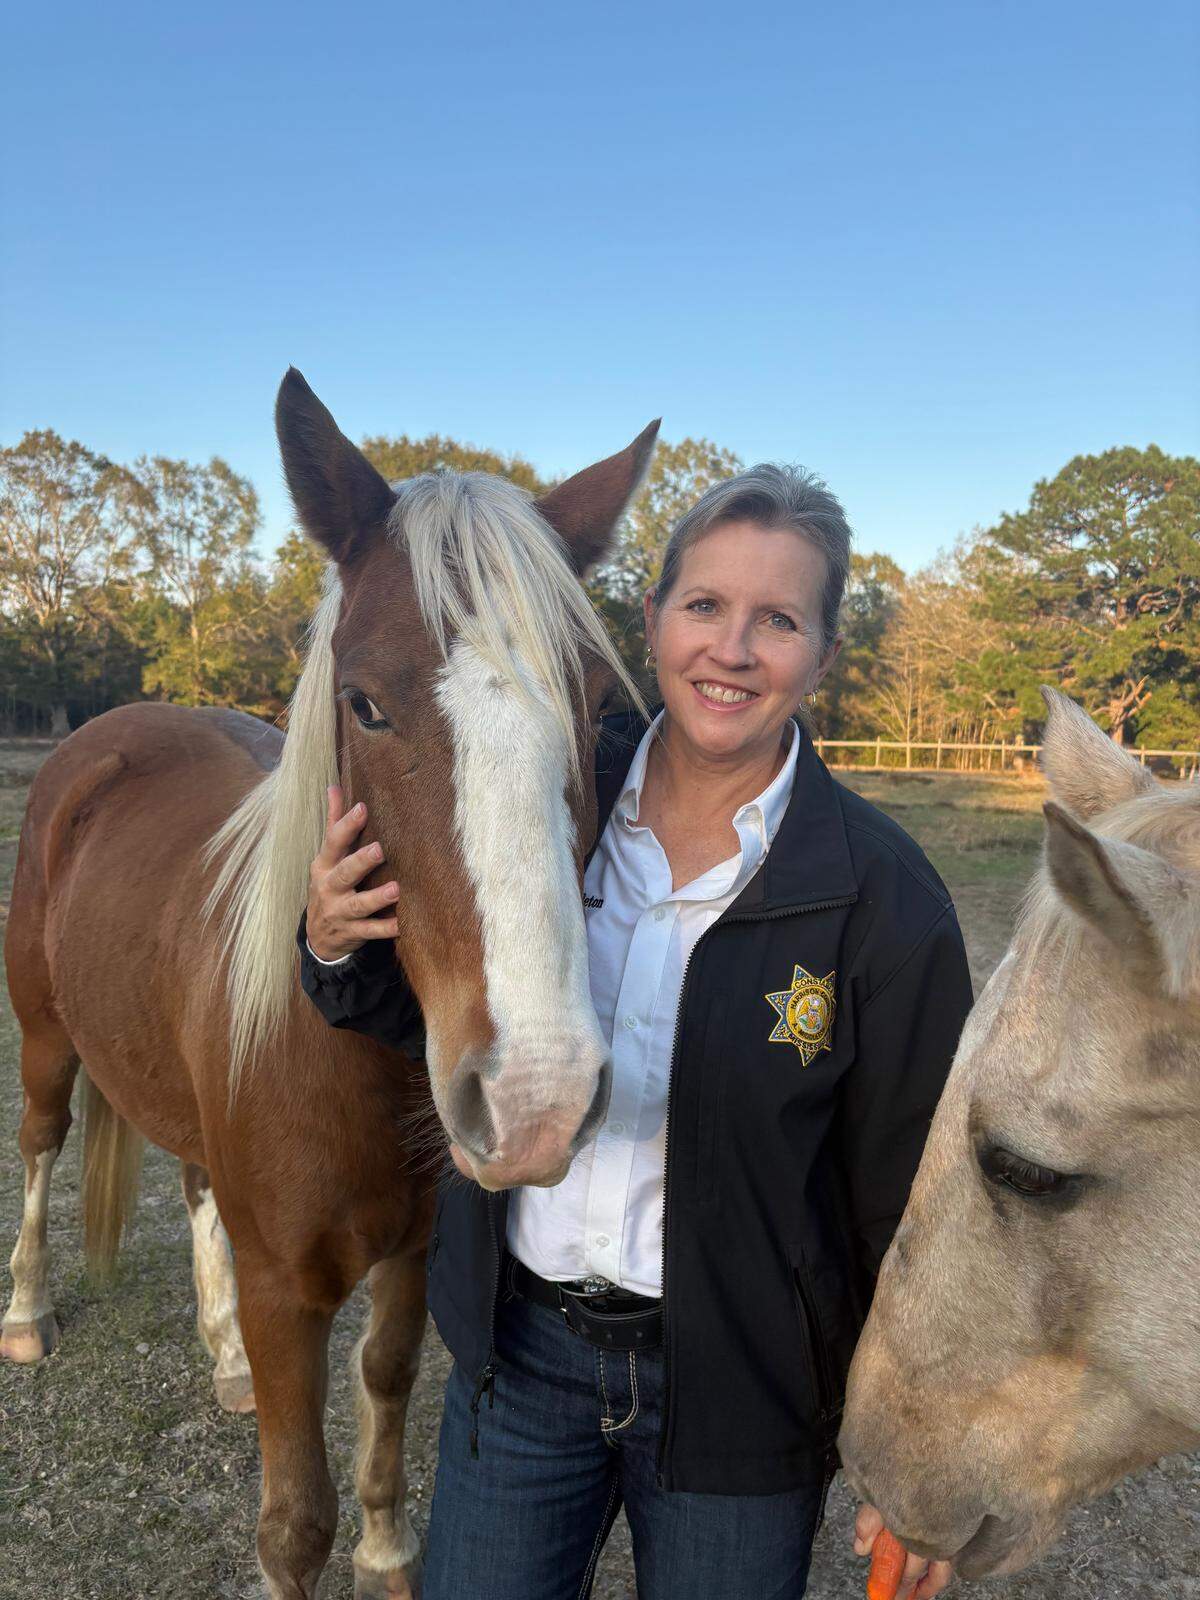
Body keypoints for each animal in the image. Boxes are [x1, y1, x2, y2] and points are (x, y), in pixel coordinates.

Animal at [1, 369, 658, 1599]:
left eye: (601, 711)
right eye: (363, 703)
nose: (537, 1100)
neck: (344, 1051)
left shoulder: (407, 1256)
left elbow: (388, 1382)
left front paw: (389, 1547)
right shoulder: (283, 1295)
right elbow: (292, 1524)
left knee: (192, 1179)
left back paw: (218, 1360)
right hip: (46, 1039)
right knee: (41, 1144)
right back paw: (25, 1312)